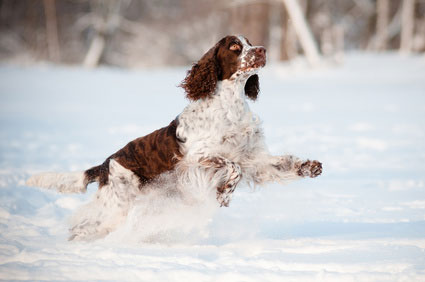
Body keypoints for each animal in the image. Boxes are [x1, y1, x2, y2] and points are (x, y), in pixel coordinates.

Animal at [26, 35, 322, 241]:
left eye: (249, 42)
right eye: (235, 47)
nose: (262, 50)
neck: (230, 106)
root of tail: (104, 165)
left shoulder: (252, 158)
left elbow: (277, 164)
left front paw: (308, 166)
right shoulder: (196, 159)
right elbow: (232, 167)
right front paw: (223, 194)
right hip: (118, 203)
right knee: (84, 225)